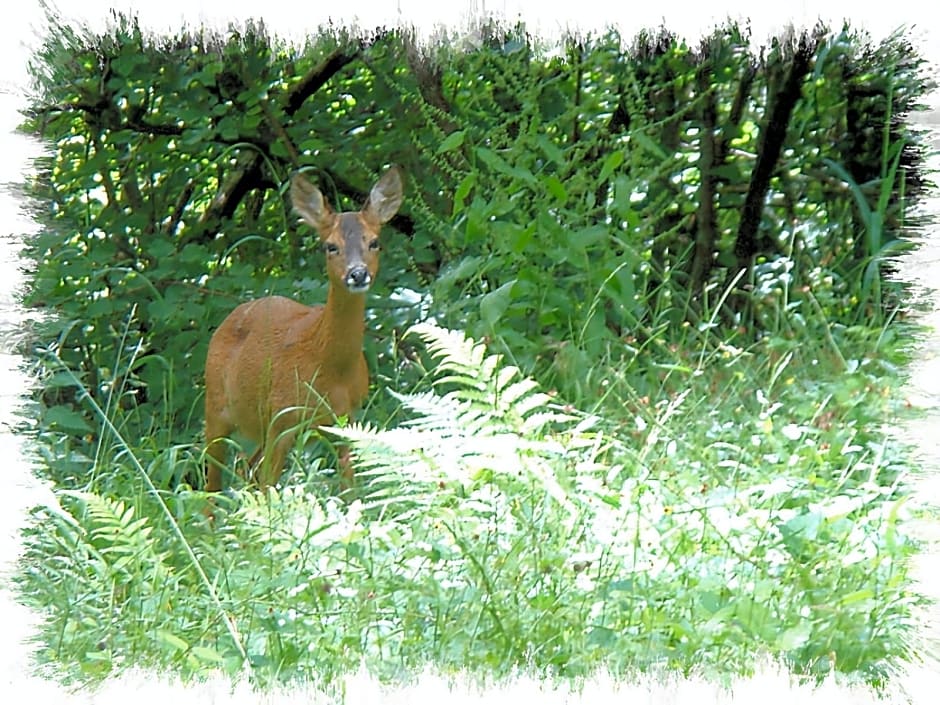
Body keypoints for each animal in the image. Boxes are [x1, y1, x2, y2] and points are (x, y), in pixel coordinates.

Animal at [204, 166, 402, 496]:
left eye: (375, 242)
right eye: (330, 246)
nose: (358, 274)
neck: (330, 367)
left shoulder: (346, 417)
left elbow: (350, 488)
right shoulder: (280, 417)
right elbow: (269, 488)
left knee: (246, 469)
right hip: (216, 405)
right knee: (214, 482)